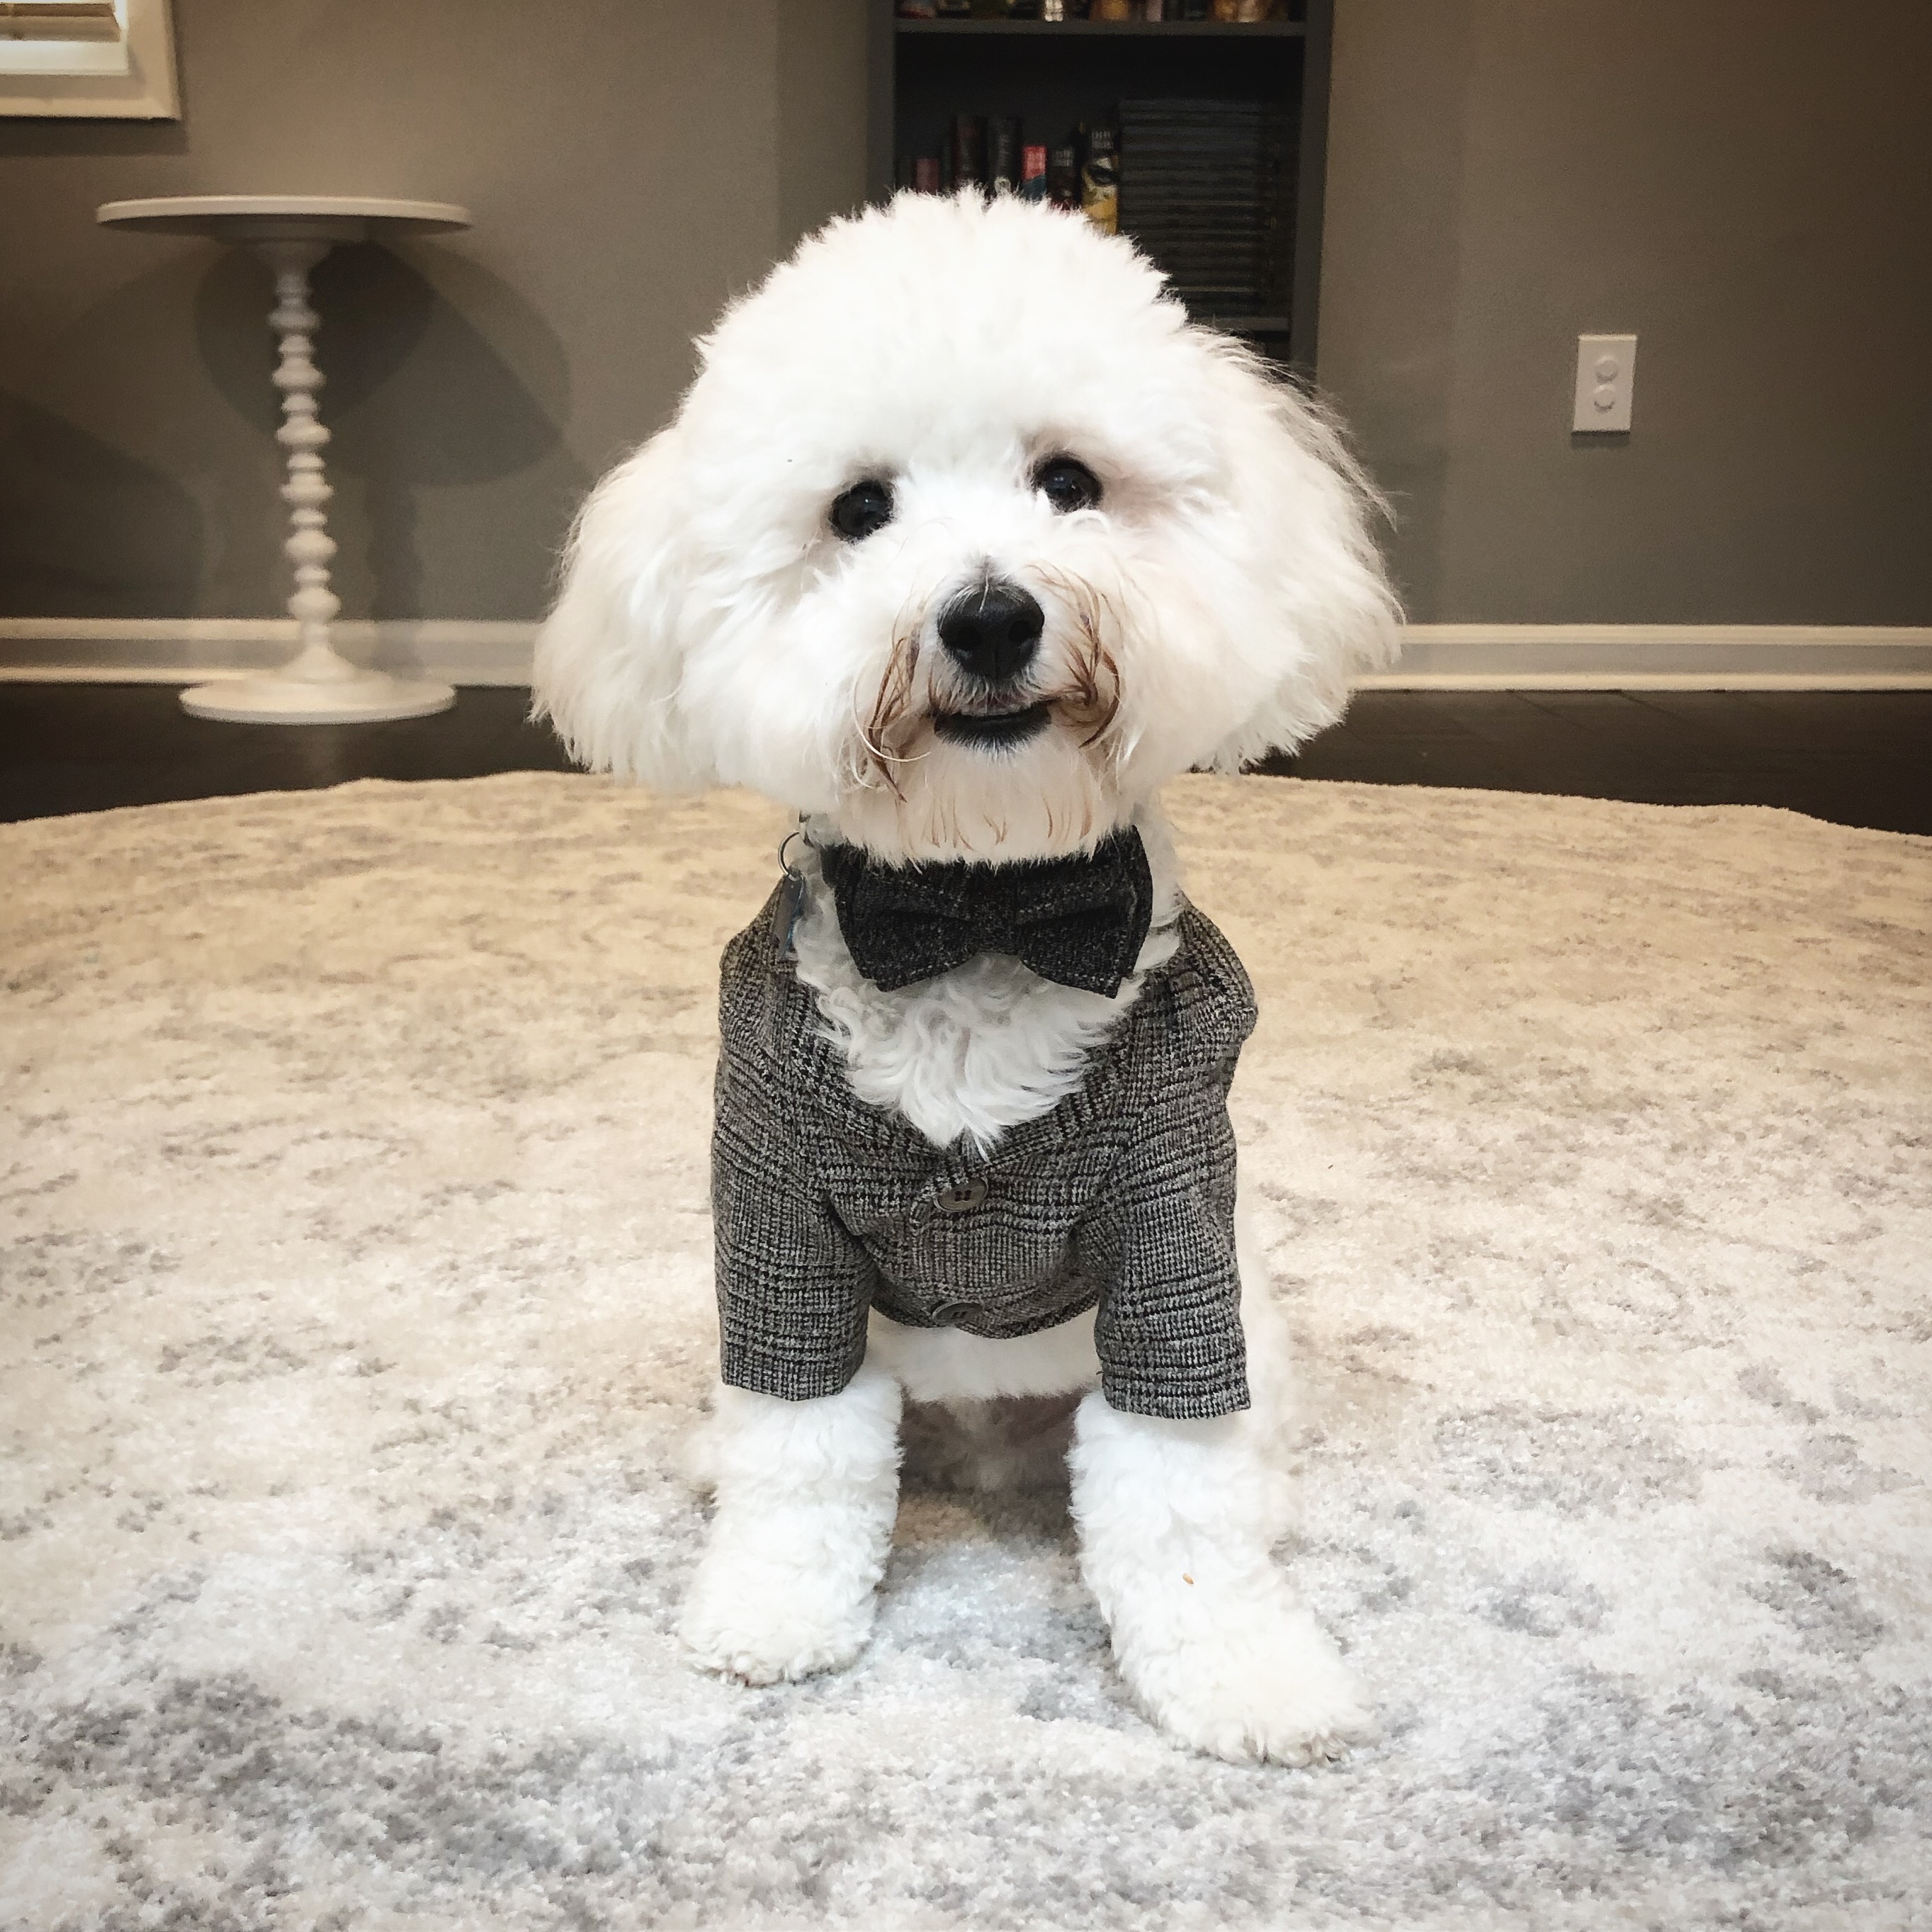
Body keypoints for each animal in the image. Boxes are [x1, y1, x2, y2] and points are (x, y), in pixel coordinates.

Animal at [537, 192, 1399, 1769]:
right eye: (858, 511)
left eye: (1069, 482)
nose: (990, 617)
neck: (980, 908)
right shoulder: (779, 1222)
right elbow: (798, 1456)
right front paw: (769, 1615)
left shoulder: (1175, 1239)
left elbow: (1180, 1497)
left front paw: (1244, 1674)